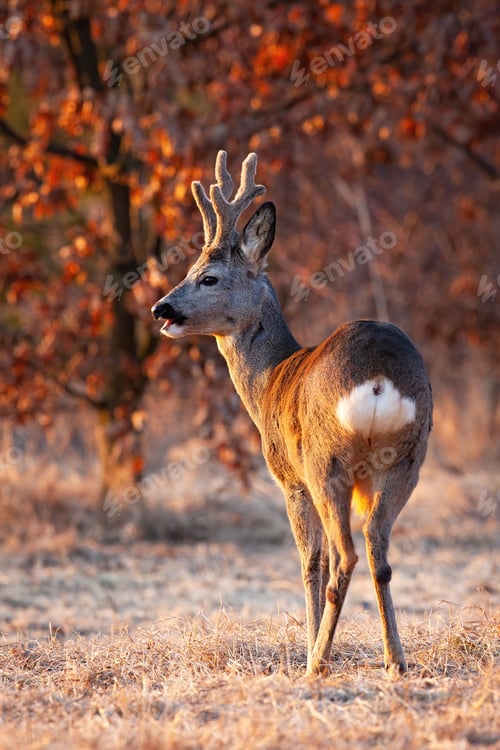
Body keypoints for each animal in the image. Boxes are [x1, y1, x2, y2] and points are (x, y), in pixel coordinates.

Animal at [152, 151, 433, 677]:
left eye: (207, 276)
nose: (162, 308)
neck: (270, 379)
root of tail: (378, 380)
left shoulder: (289, 478)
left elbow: (309, 563)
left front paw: (309, 648)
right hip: (408, 457)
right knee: (378, 550)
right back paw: (395, 661)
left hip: (325, 463)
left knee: (342, 557)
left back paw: (317, 662)